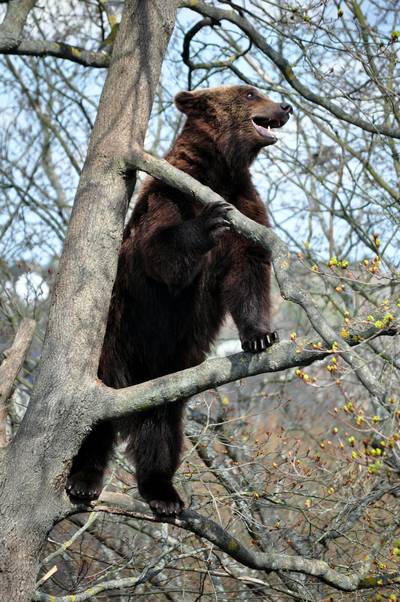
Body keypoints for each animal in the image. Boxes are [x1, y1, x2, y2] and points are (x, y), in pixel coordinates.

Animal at [67, 85, 292, 510]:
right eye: (250, 92)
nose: (285, 106)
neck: (220, 170)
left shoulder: (246, 206)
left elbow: (247, 272)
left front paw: (261, 336)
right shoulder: (171, 194)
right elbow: (161, 252)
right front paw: (209, 221)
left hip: (172, 368)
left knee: (163, 423)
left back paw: (163, 491)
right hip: (114, 344)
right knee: (95, 420)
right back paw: (82, 480)